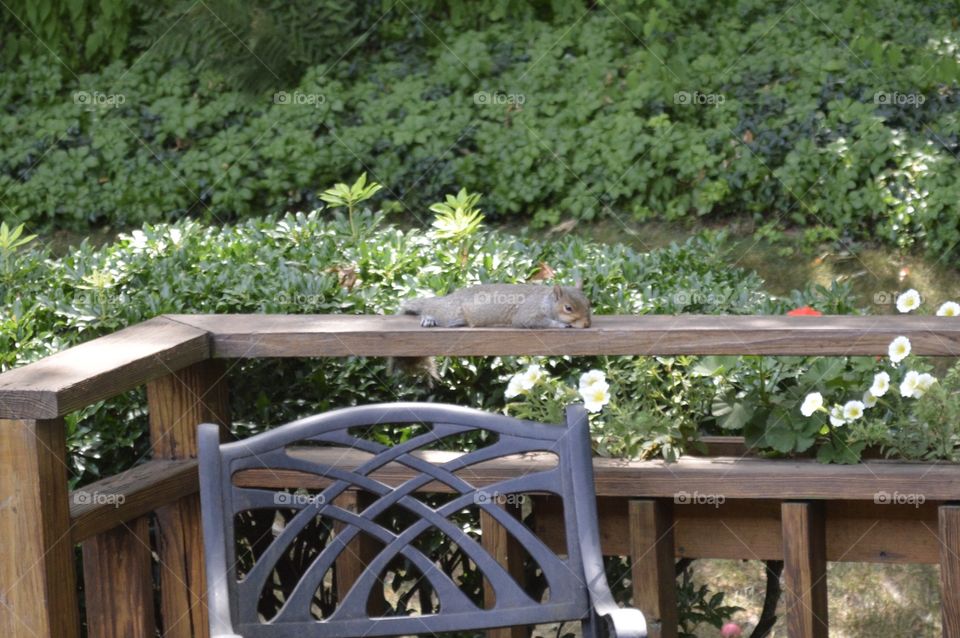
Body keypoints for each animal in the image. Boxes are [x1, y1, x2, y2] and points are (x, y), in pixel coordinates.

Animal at [390, 283, 592, 381]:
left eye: (589, 303)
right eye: (568, 308)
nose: (587, 324)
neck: (546, 301)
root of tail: (445, 299)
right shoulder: (527, 314)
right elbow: (531, 321)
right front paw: (561, 325)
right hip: (450, 314)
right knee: (431, 311)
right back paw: (428, 318)